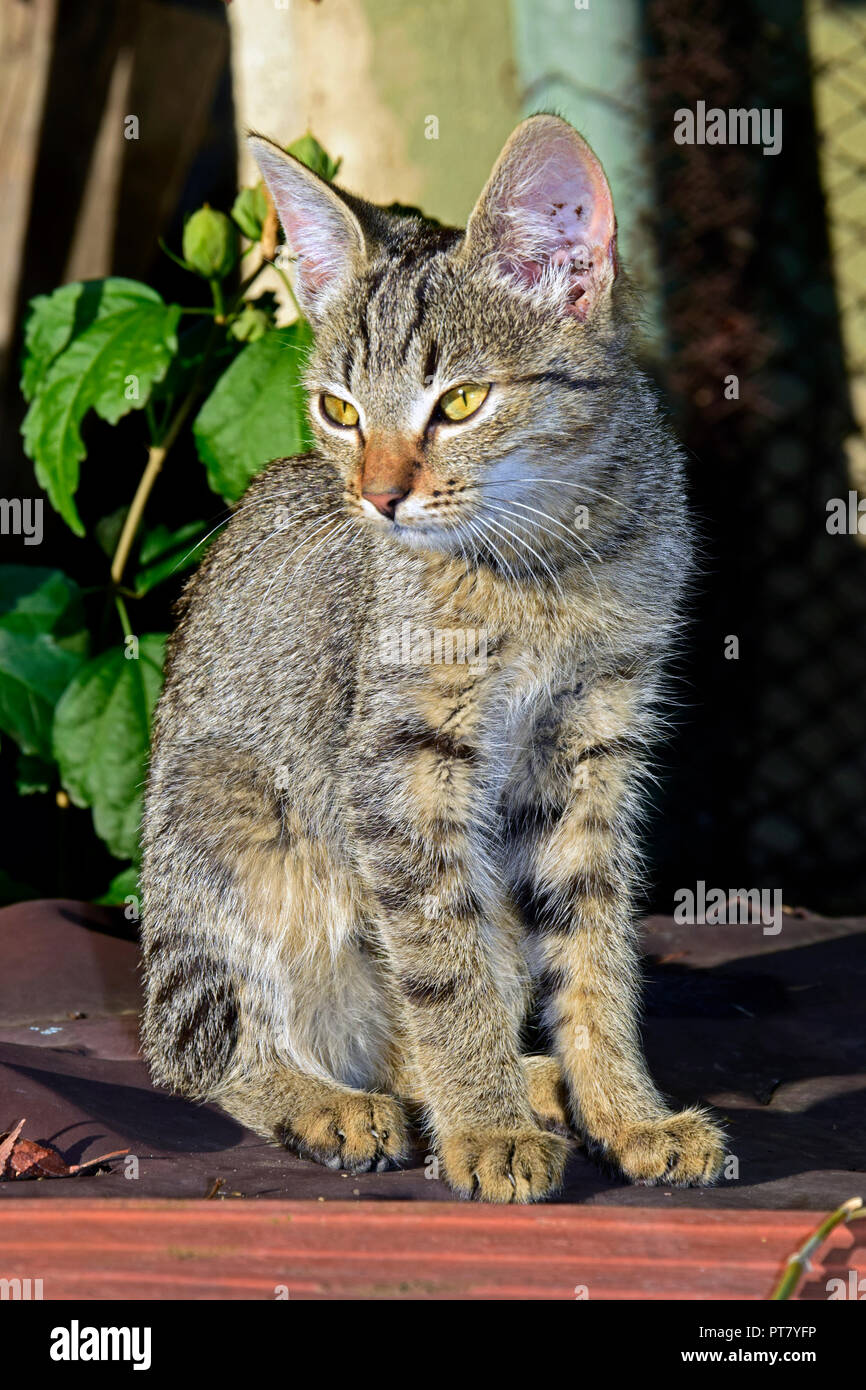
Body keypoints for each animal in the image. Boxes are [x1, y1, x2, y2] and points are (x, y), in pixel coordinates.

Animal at [140, 113, 722, 1200]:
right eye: (338, 411)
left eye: (460, 403)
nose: (377, 495)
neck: (547, 565)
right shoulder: (398, 770)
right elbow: (443, 964)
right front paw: (484, 1126)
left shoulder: (594, 748)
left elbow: (592, 949)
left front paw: (625, 1112)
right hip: (230, 817)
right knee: (195, 1044)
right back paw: (330, 1100)